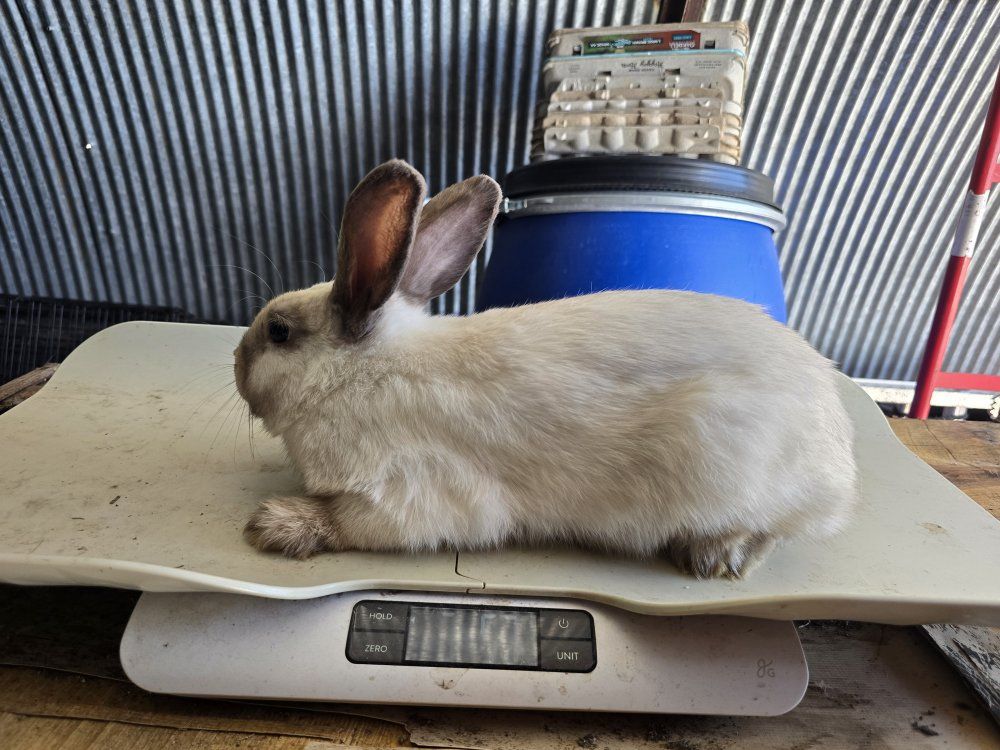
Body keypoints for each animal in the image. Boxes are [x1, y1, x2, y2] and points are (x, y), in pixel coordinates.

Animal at [234, 159, 858, 579]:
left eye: (278, 331)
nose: (236, 366)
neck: (362, 372)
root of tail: (840, 463)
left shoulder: (411, 494)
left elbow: (351, 523)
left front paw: (275, 524)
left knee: (775, 531)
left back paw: (714, 557)